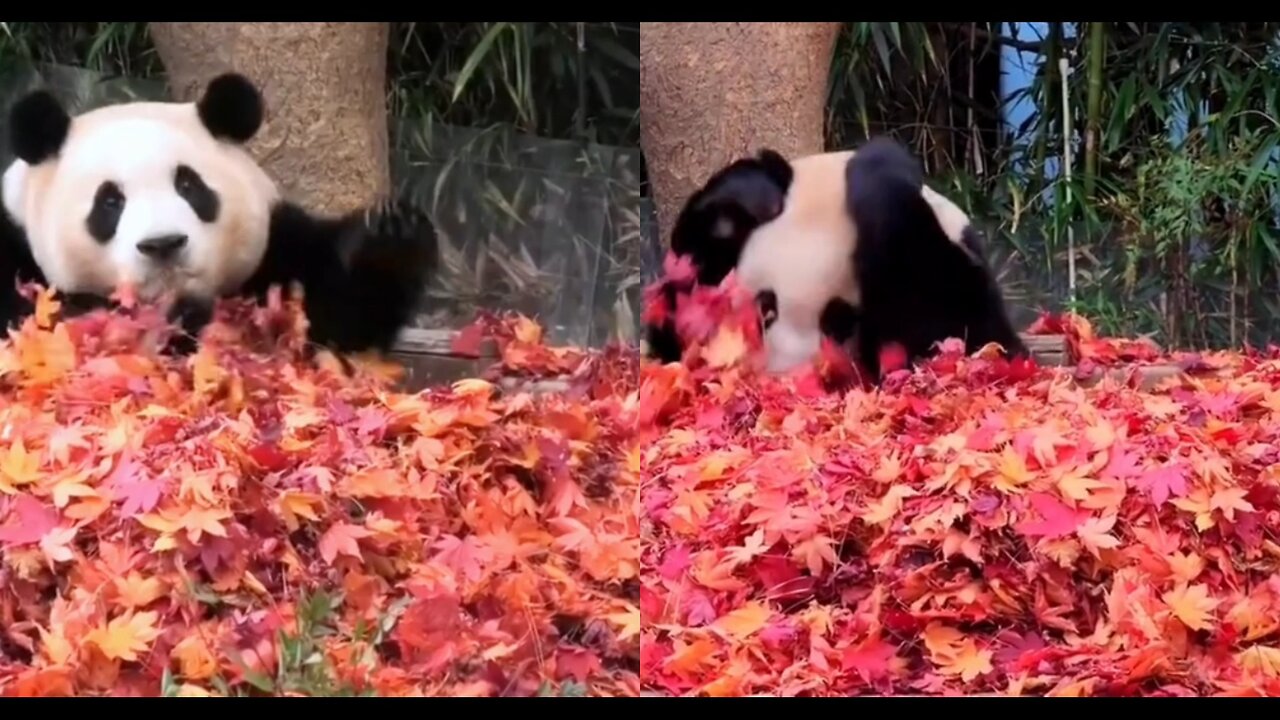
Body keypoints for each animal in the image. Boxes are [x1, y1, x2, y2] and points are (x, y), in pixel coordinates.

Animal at [0, 72, 437, 353]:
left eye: (189, 186)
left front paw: (390, 237)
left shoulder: (276, 248)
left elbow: (337, 318)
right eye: (110, 202)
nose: (163, 244)